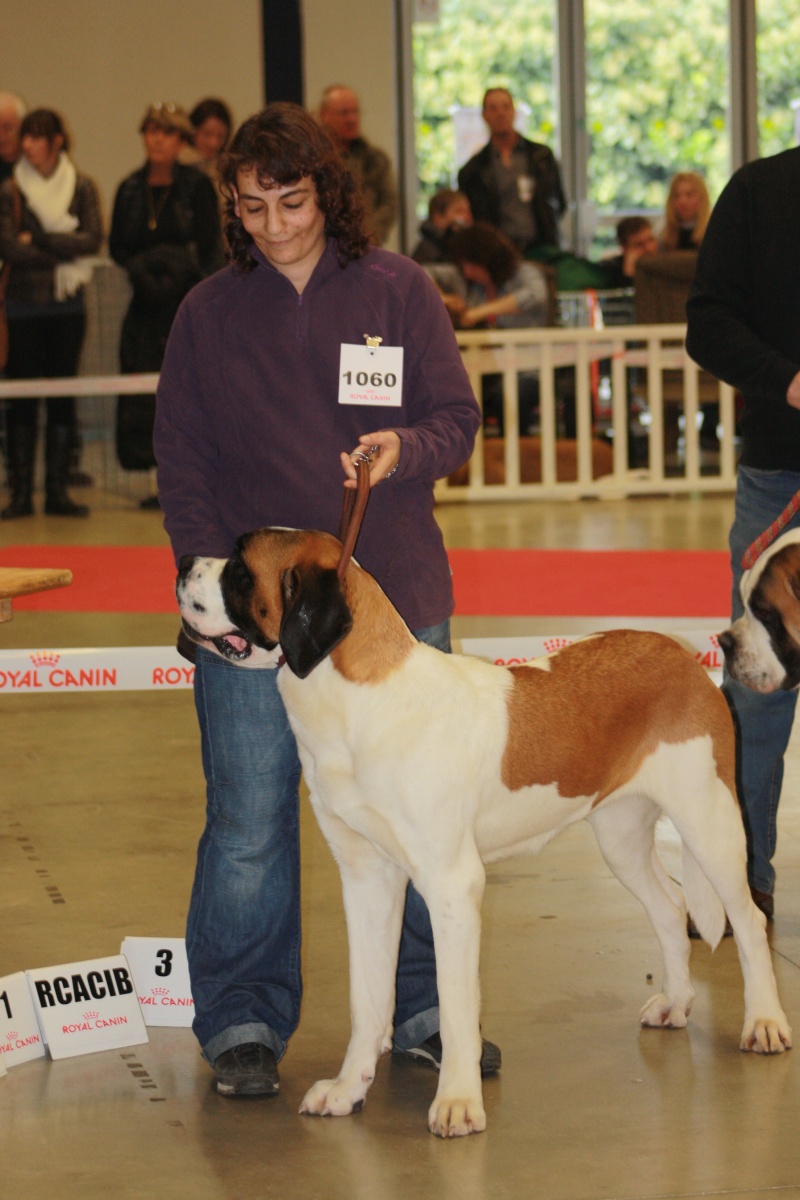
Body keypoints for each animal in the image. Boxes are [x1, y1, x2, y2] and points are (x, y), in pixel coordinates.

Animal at [178, 530, 791, 1137]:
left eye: (240, 570)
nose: (183, 563)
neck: (362, 698)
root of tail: (679, 653)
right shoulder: (369, 881)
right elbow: (368, 998)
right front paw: (349, 1089)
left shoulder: (452, 887)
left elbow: (455, 1008)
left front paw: (457, 1103)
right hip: (620, 834)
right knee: (669, 905)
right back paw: (677, 1003)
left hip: (709, 821)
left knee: (748, 920)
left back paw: (764, 1021)